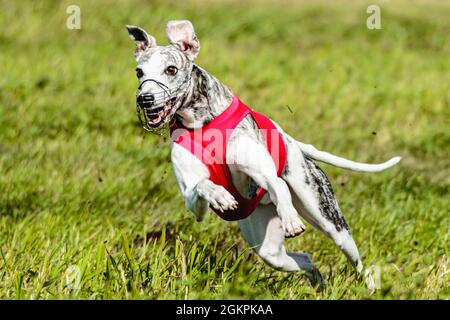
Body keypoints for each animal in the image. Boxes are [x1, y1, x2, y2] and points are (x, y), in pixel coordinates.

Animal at [124, 20, 400, 284]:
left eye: (171, 69)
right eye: (139, 72)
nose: (145, 99)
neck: (201, 123)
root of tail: (295, 144)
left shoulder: (263, 172)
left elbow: (276, 183)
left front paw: (290, 218)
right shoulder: (193, 200)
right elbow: (202, 186)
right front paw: (221, 196)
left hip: (327, 217)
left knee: (356, 260)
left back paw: (366, 284)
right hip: (268, 247)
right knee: (303, 258)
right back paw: (318, 281)